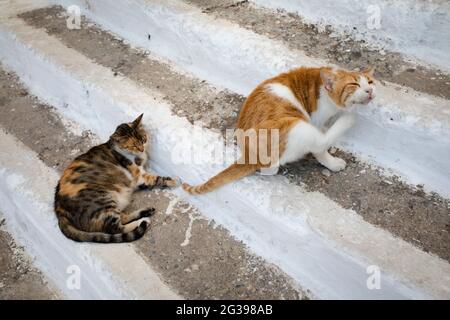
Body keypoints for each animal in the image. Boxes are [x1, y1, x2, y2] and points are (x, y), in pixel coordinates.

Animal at [183, 66, 376, 194]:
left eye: (370, 82)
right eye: (354, 84)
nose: (370, 90)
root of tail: (249, 154)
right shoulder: (316, 119)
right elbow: (320, 149)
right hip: (296, 126)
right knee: (318, 144)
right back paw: (347, 122)